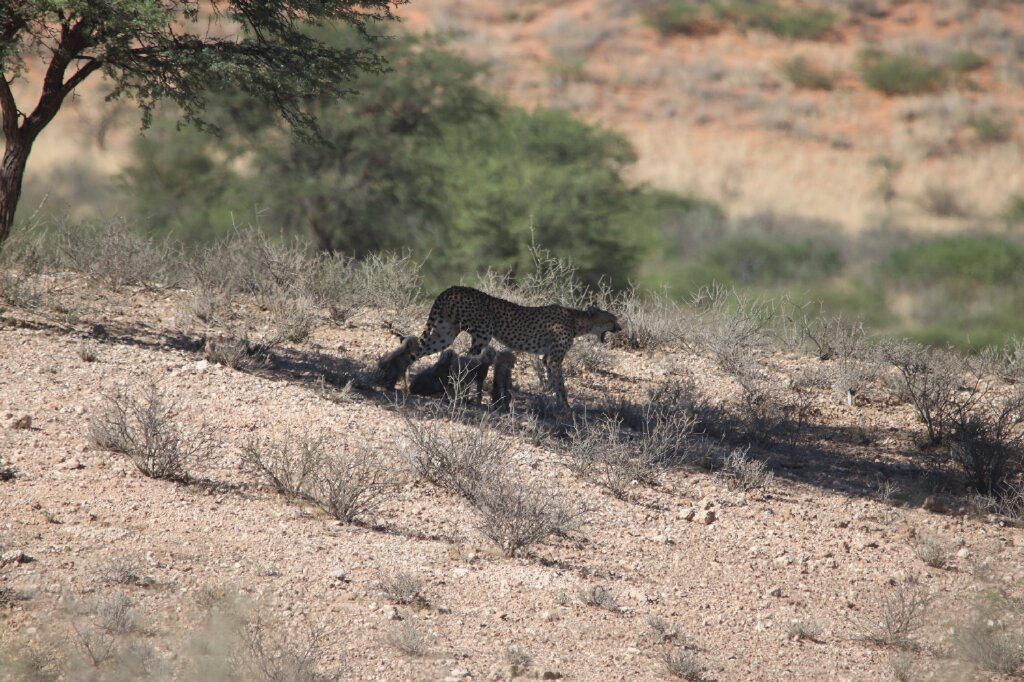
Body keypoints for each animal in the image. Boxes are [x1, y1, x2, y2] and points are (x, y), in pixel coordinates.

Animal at [411, 284, 618, 403]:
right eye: (611, 319)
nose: (620, 327)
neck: (577, 320)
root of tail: (452, 288)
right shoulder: (555, 358)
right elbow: (560, 382)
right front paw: (565, 406)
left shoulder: (547, 357)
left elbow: (552, 379)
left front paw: (552, 398)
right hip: (483, 332)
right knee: (467, 359)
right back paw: (462, 393)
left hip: (444, 333)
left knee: (418, 350)